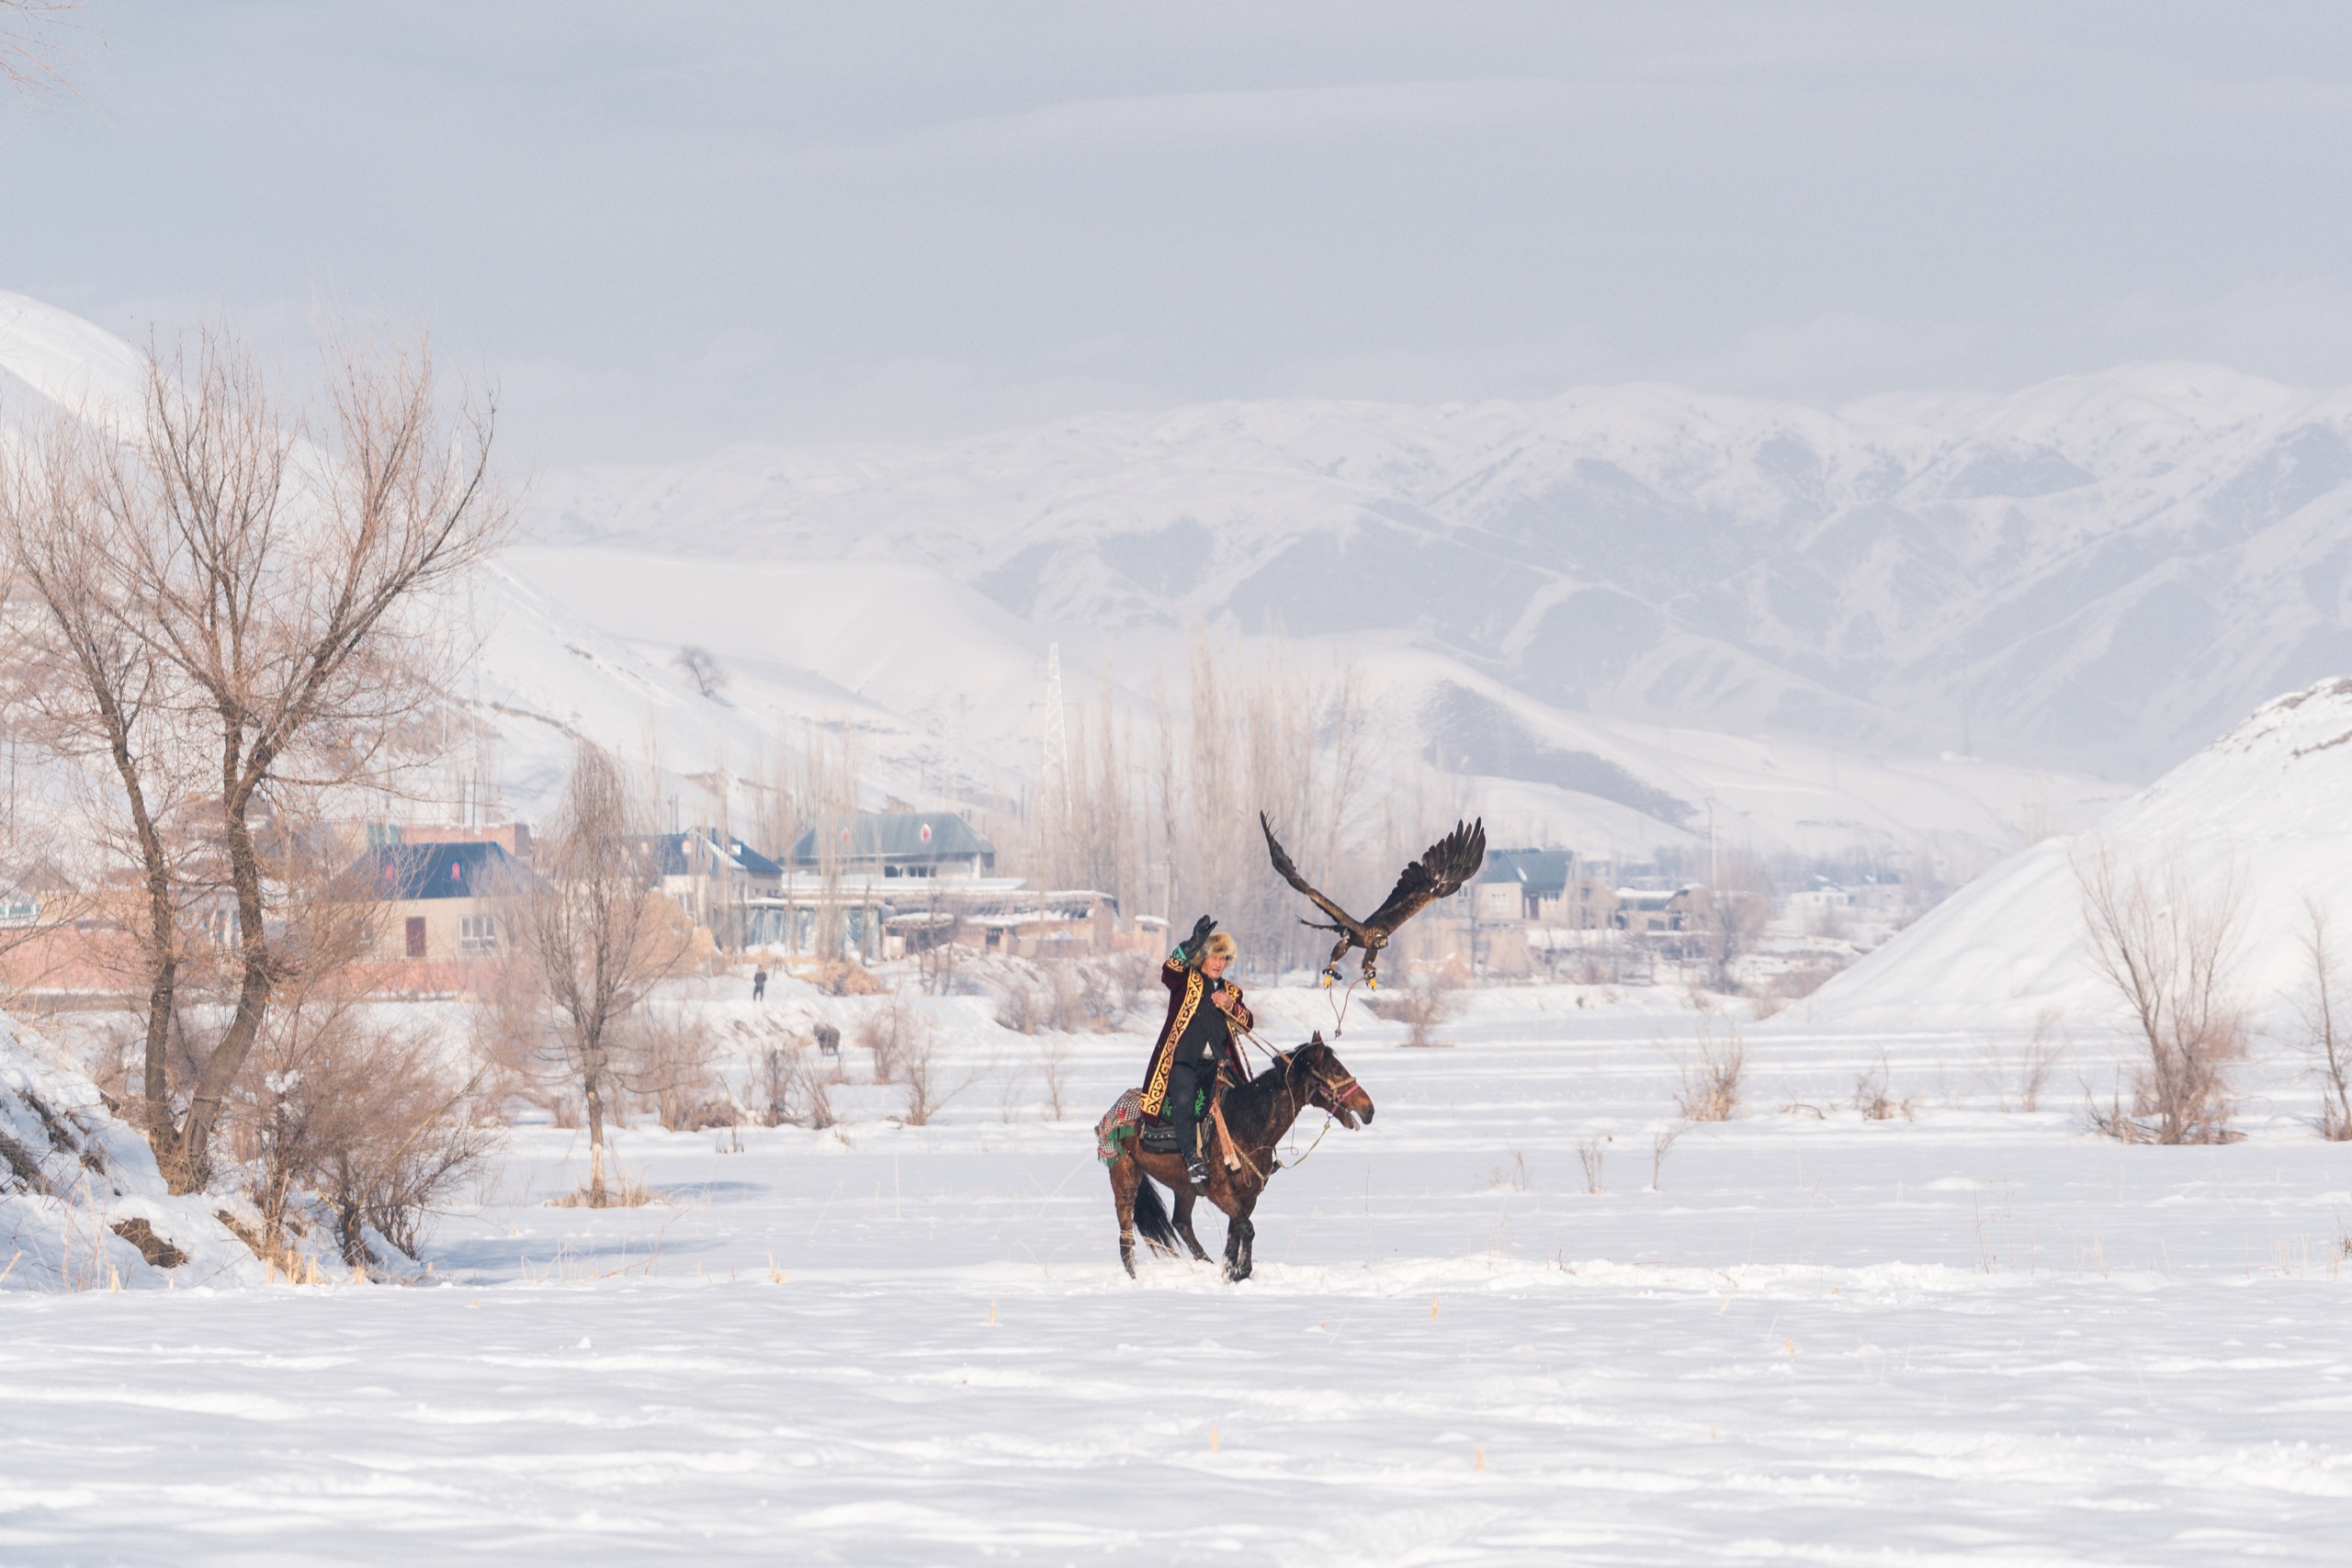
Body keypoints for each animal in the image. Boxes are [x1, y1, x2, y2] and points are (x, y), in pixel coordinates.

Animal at [1105, 1034, 1374, 1279]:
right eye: (1336, 1070)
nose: (1369, 1109)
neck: (1247, 1124)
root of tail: (1114, 1109)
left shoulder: (1248, 1195)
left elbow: (1235, 1233)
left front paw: (1230, 1271)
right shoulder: (1220, 1191)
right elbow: (1247, 1228)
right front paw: (1241, 1271)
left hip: (1184, 1188)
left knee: (1181, 1222)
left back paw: (1207, 1263)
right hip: (1125, 1174)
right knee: (1126, 1231)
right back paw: (1134, 1274)